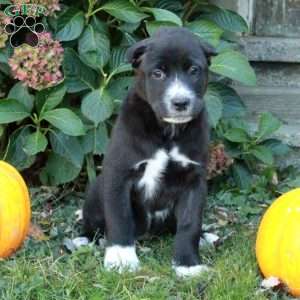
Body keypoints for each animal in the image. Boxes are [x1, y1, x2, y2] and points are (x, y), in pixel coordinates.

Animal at [83, 27, 217, 278]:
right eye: (157, 73)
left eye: (194, 70)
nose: (180, 102)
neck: (167, 132)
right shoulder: (118, 175)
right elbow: (120, 217)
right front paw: (121, 258)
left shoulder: (194, 180)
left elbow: (190, 223)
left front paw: (188, 264)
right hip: (97, 190)